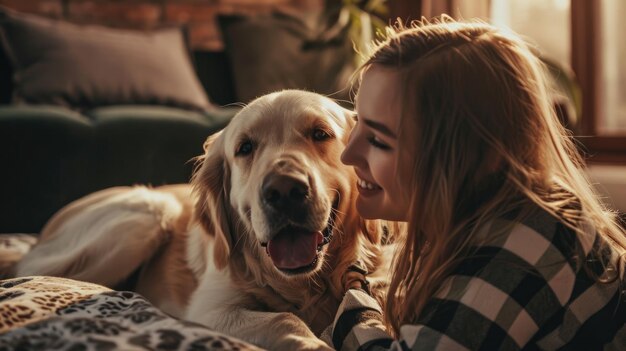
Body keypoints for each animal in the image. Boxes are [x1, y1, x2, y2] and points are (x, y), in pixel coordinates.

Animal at [14, 91, 386, 351]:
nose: (283, 190)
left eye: (320, 134)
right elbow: (284, 319)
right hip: (148, 213)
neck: (303, 286)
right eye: (245, 148)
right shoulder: (209, 310)